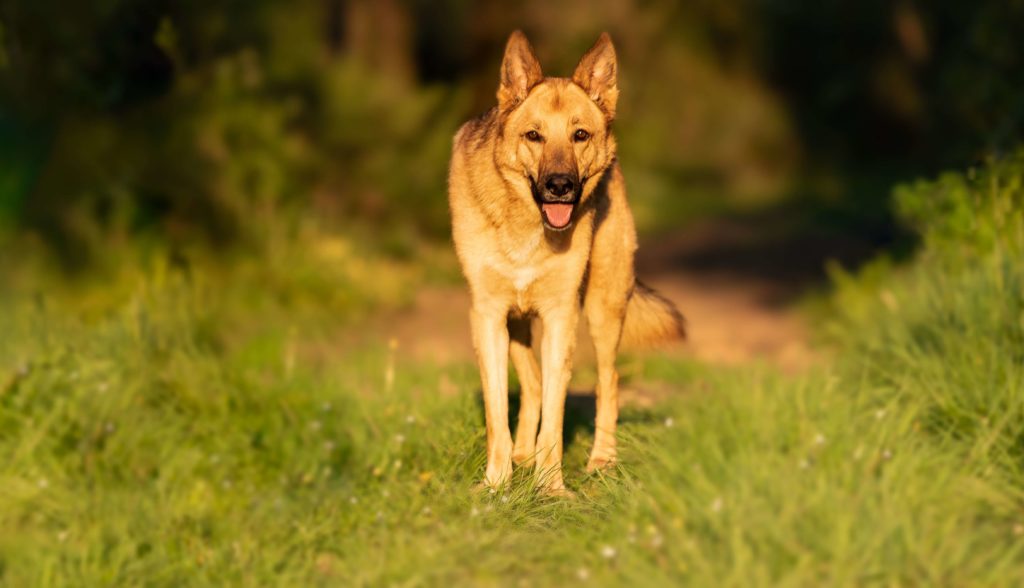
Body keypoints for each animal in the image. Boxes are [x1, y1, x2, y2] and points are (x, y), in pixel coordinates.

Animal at [450, 29, 684, 495]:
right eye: (533, 136)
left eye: (579, 134)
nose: (560, 186)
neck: (526, 226)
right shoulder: (488, 315)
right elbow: (497, 411)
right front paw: (497, 484)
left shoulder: (561, 316)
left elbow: (556, 417)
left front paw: (551, 487)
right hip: (519, 321)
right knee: (533, 383)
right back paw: (522, 456)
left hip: (603, 307)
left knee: (608, 382)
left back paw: (601, 460)